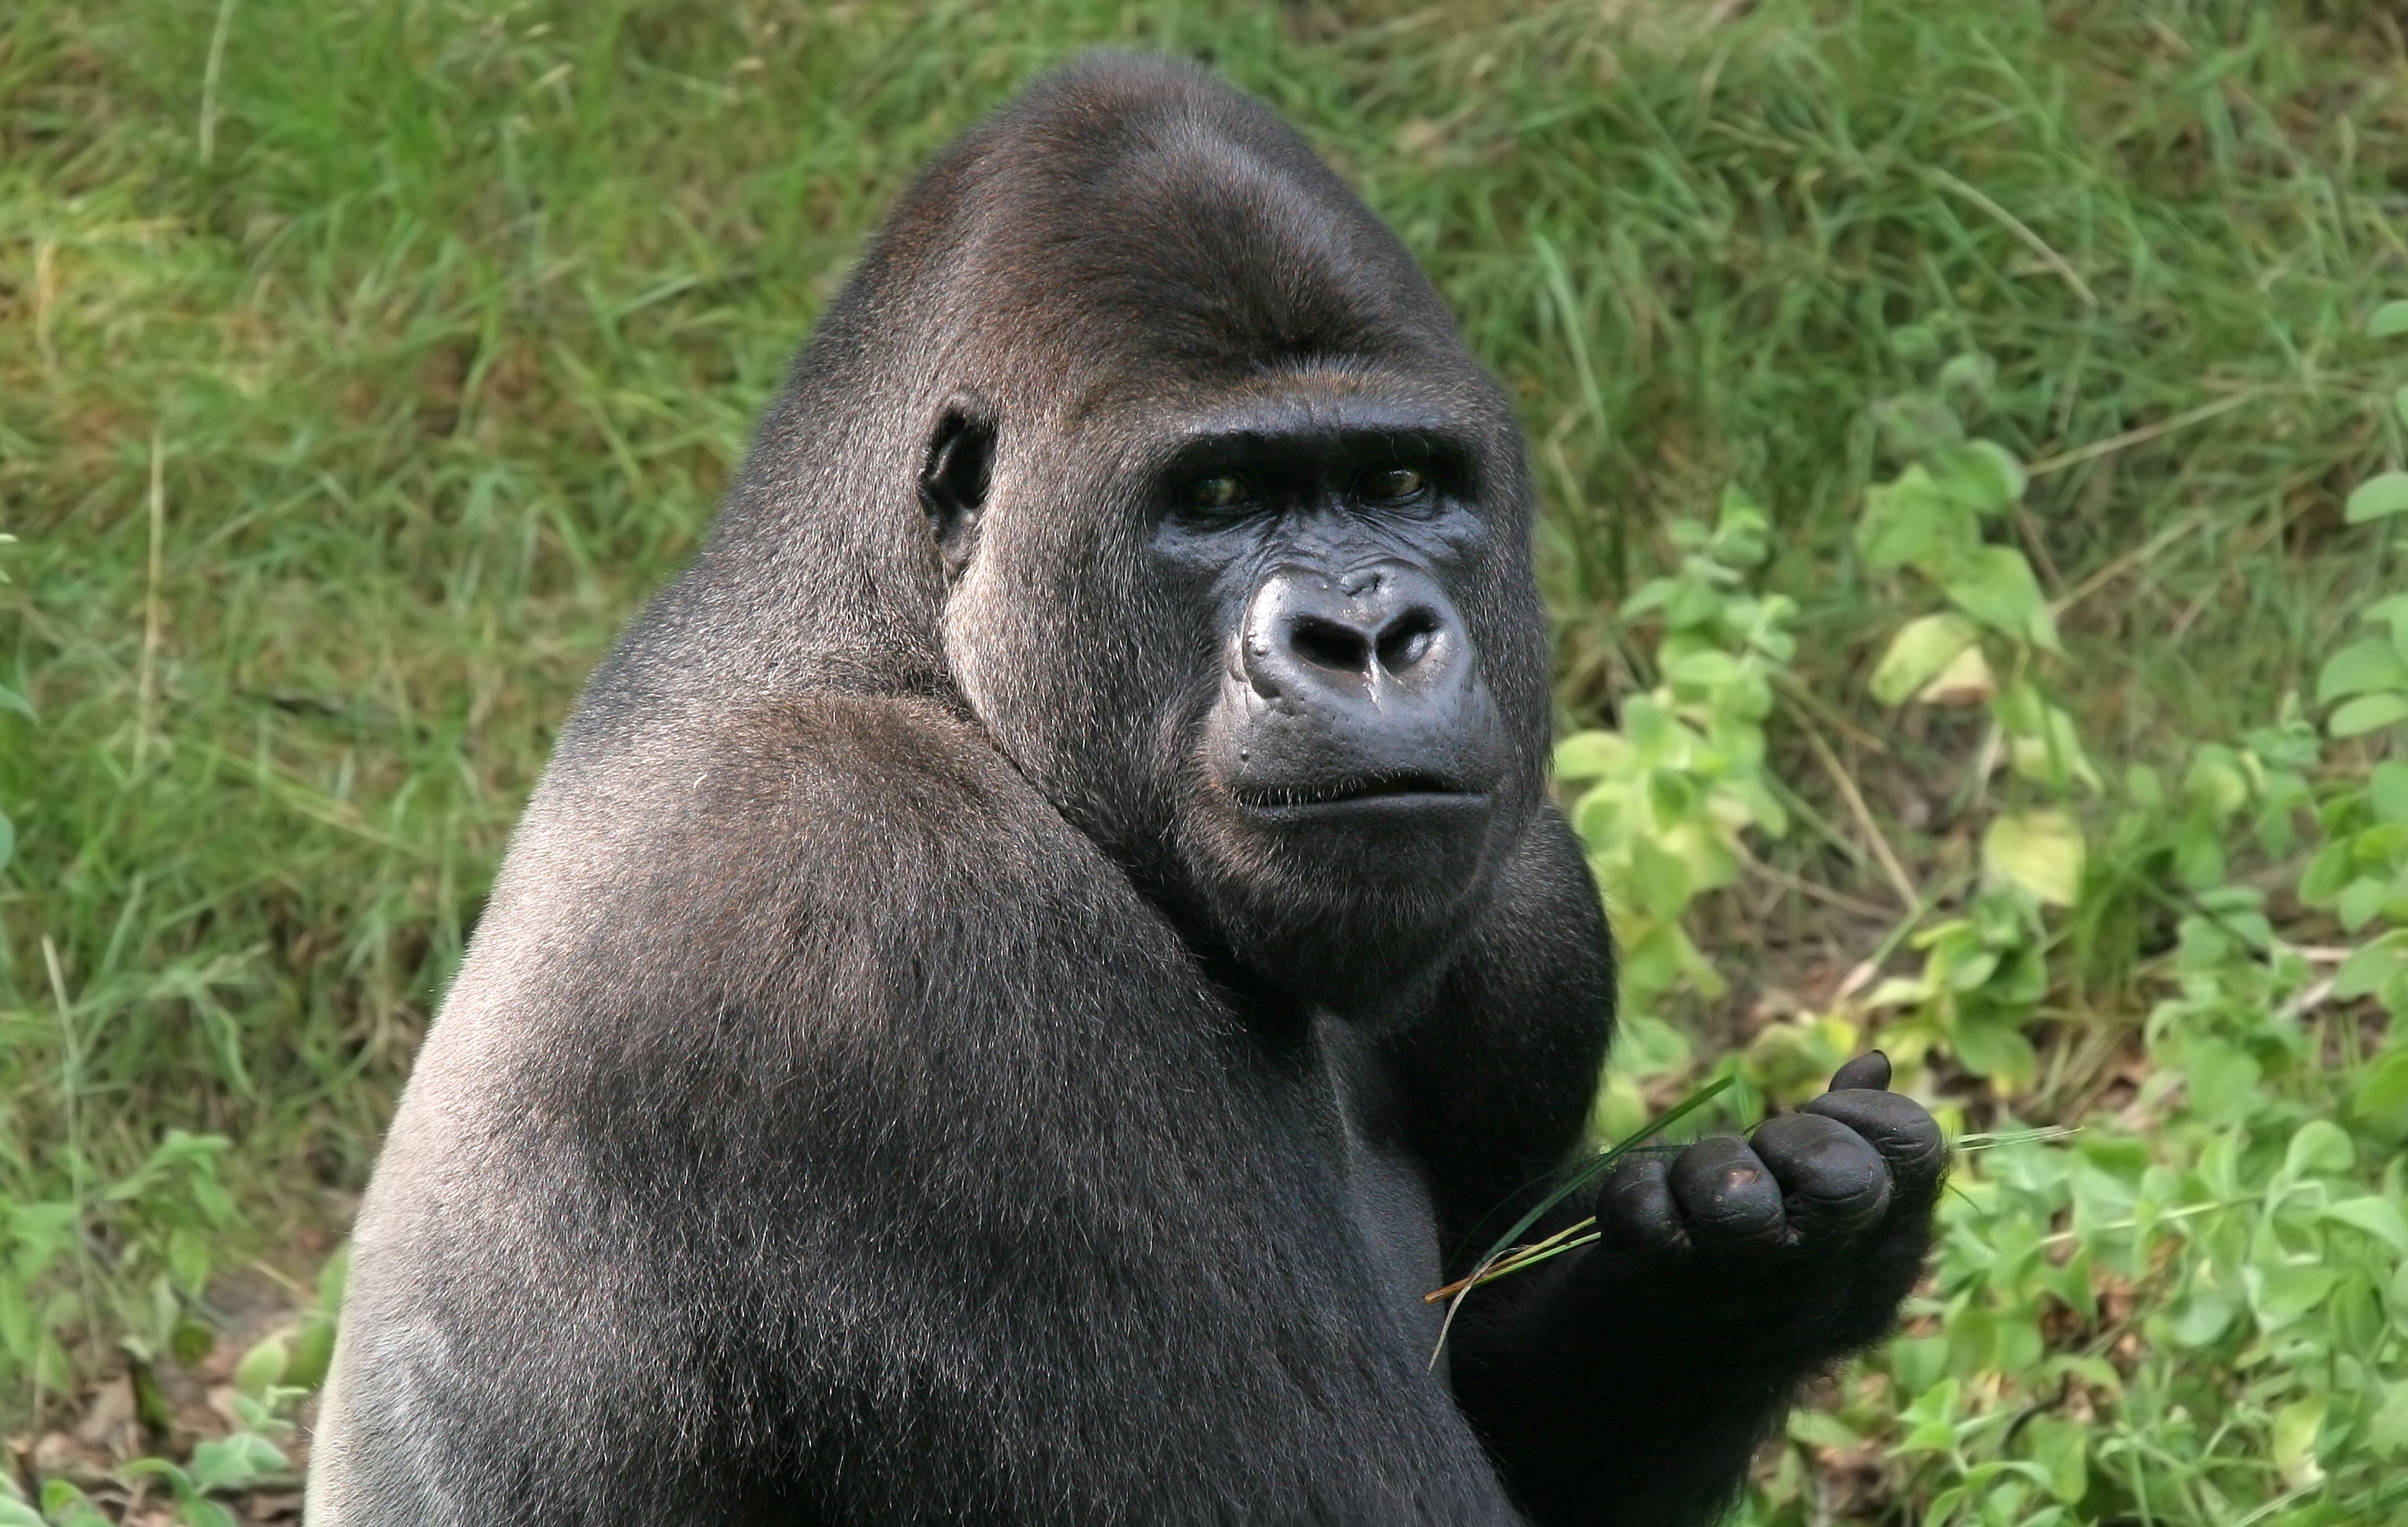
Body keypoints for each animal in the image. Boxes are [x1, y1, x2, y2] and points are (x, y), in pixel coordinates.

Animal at [307, 54, 1943, 1527]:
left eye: (1403, 483)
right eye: (1215, 498)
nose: (1367, 637)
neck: (908, 645)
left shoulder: (1534, 917)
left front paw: (1762, 1271)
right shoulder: (885, 911)